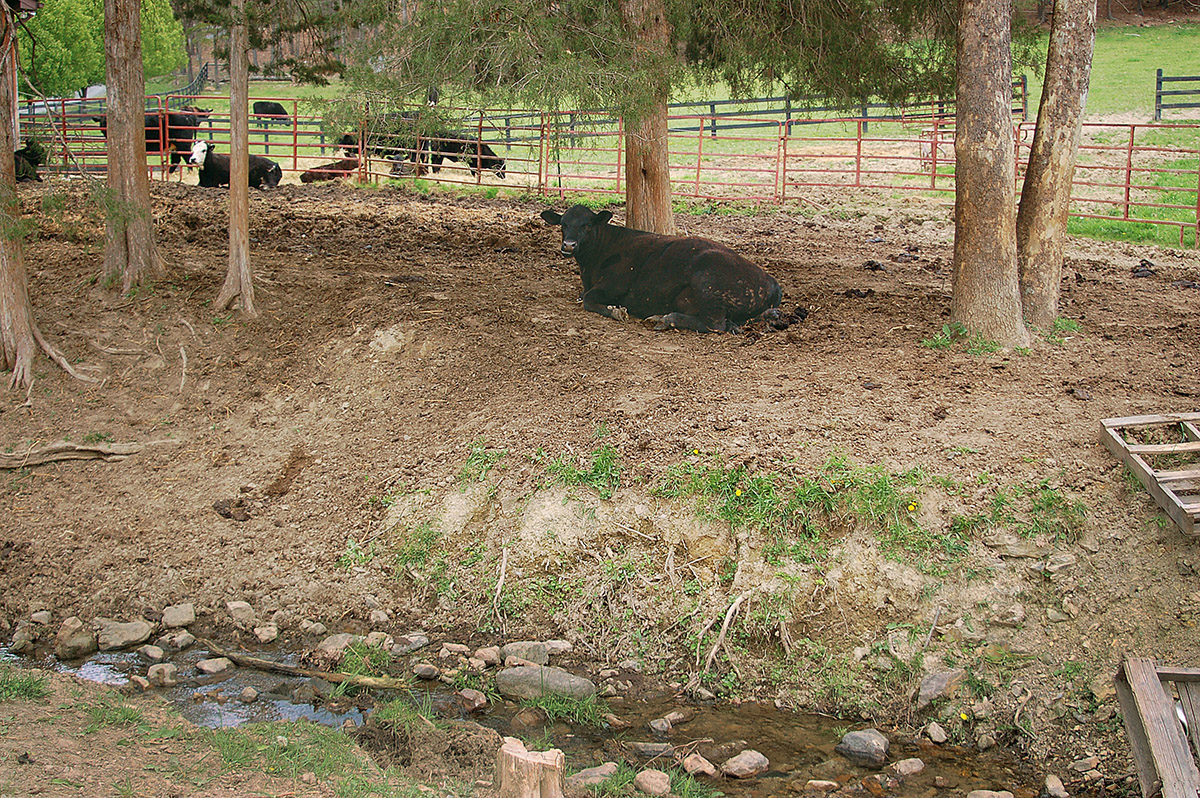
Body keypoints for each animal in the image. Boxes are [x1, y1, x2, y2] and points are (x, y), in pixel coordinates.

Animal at [540, 204, 782, 333]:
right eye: (563, 224)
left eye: (587, 225)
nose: (569, 245)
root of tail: (771, 281)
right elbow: (584, 297)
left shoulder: (614, 283)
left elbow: (589, 300)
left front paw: (616, 311)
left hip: (708, 283)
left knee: (714, 324)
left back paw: (664, 318)